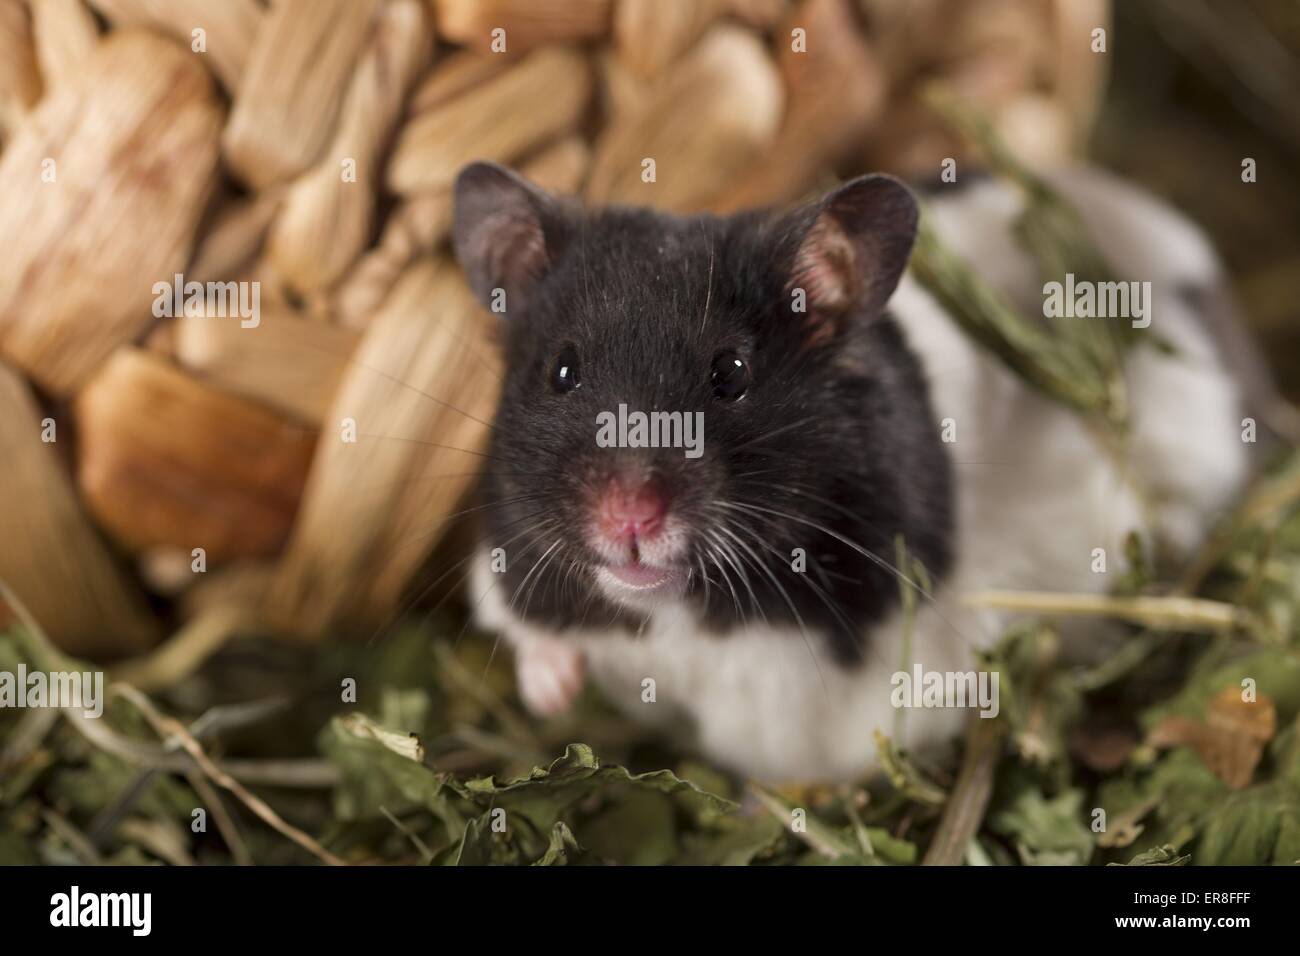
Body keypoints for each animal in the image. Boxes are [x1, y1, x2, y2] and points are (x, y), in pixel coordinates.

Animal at [451, 160, 1255, 783]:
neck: (675, 616)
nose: (631, 518)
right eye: (561, 370)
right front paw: (553, 693)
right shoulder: (505, 567)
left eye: (730, 373)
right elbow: (526, 632)